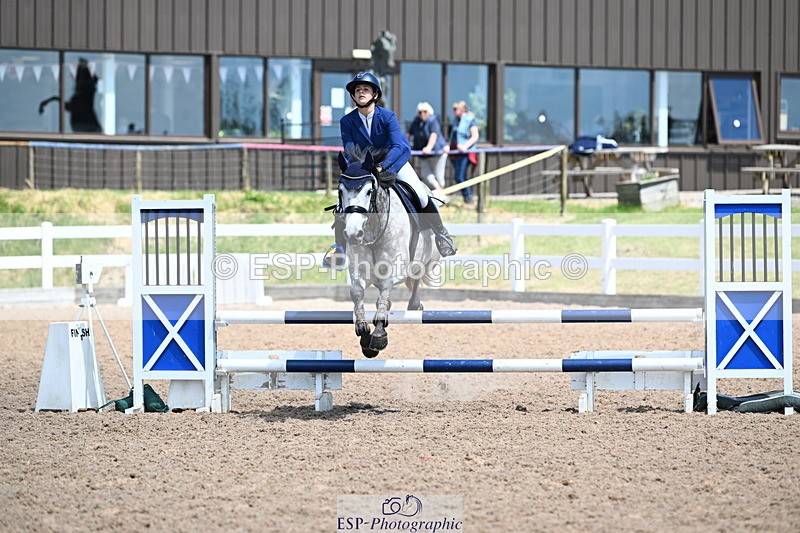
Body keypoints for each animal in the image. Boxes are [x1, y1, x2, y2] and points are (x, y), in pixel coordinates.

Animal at [336, 146, 441, 358]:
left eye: (369, 191)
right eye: (340, 191)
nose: (352, 233)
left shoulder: (396, 269)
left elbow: (383, 294)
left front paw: (378, 336)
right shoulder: (360, 271)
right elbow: (357, 292)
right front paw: (364, 334)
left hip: (426, 259)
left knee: (417, 279)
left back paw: (415, 304)